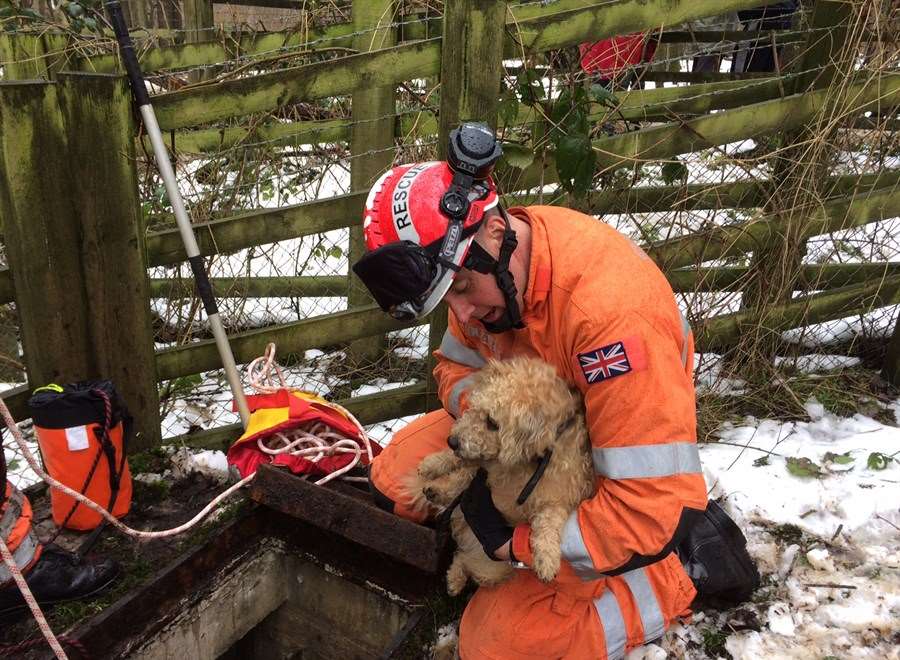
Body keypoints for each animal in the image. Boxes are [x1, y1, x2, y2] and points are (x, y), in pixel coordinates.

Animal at [406, 358, 592, 596]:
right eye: (474, 408)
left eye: (492, 422)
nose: (452, 441)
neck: (535, 461)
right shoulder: (483, 467)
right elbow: (461, 469)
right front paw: (434, 464)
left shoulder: (560, 500)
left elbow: (548, 521)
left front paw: (547, 559)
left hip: (494, 567)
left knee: (464, 557)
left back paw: (456, 579)